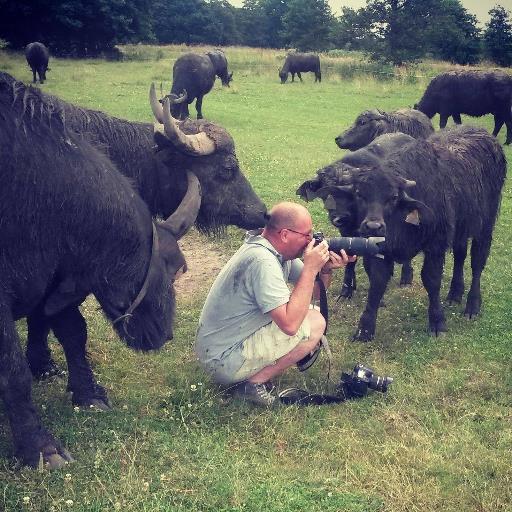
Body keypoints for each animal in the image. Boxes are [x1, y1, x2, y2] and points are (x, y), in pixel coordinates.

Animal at [0, 71, 199, 468]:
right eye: (176, 271)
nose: (166, 335)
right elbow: (14, 372)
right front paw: (40, 447)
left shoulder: (57, 280)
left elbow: (74, 332)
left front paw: (87, 393)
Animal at [24, 82, 268, 410]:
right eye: (228, 168)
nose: (263, 212)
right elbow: (72, 329)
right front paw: (87, 393)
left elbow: (39, 316)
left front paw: (42, 365)